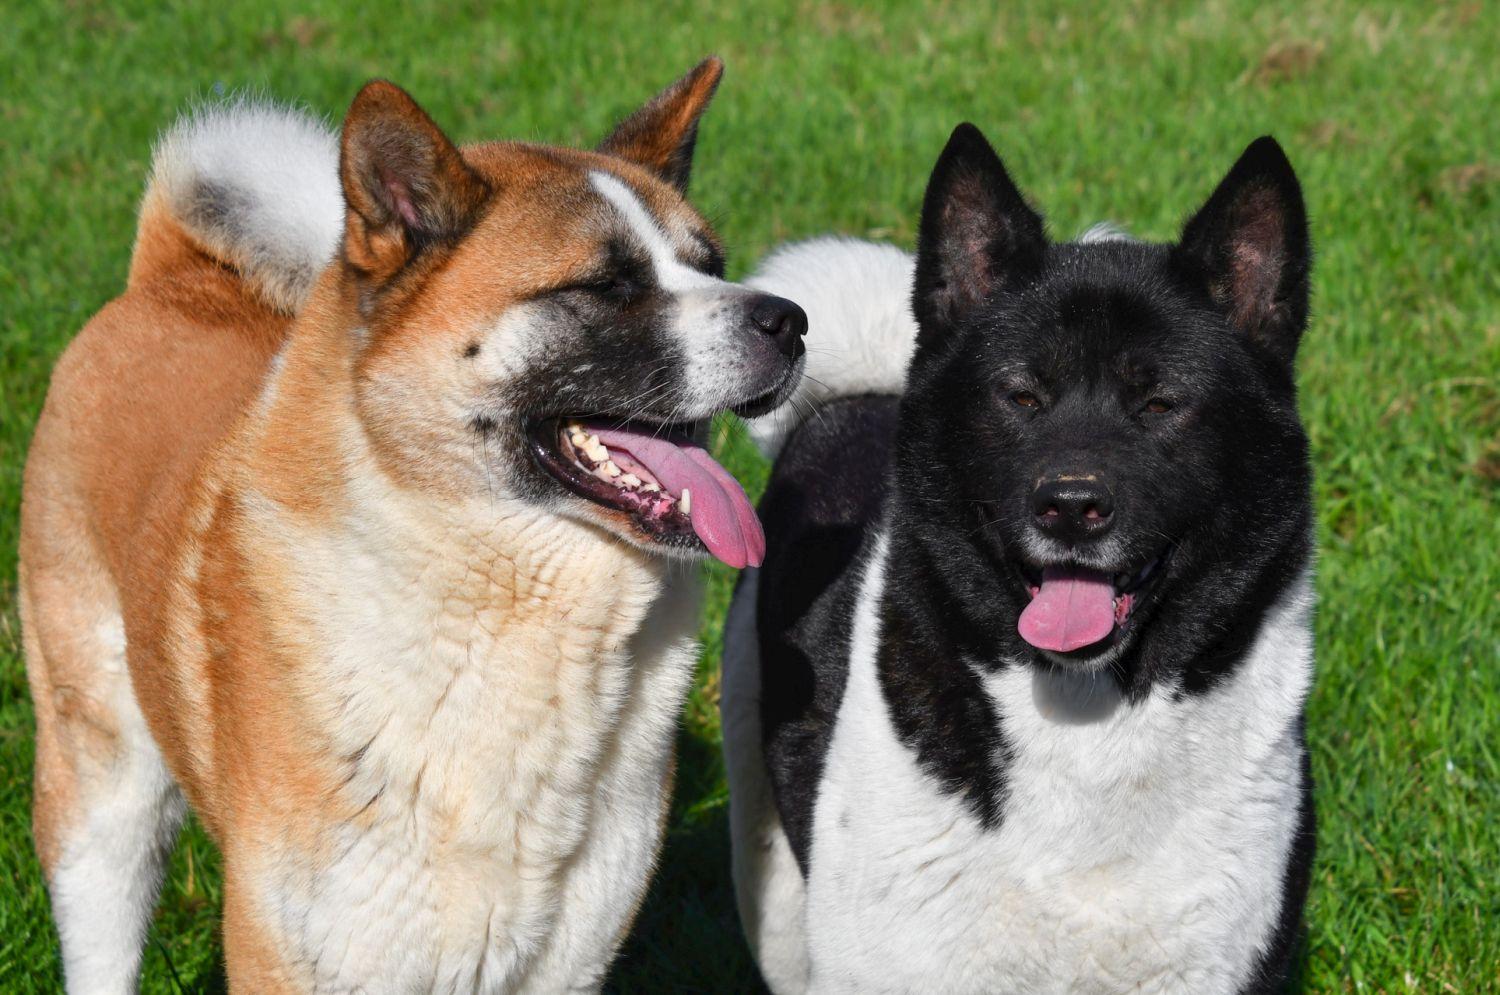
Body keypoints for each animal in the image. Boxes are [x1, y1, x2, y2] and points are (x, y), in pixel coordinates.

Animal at [17, 58, 804, 990]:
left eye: (710, 264)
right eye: (607, 285)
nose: (791, 320)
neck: (499, 604)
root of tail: (169, 276)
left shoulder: (563, 958)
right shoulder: (297, 950)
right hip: (103, 801)